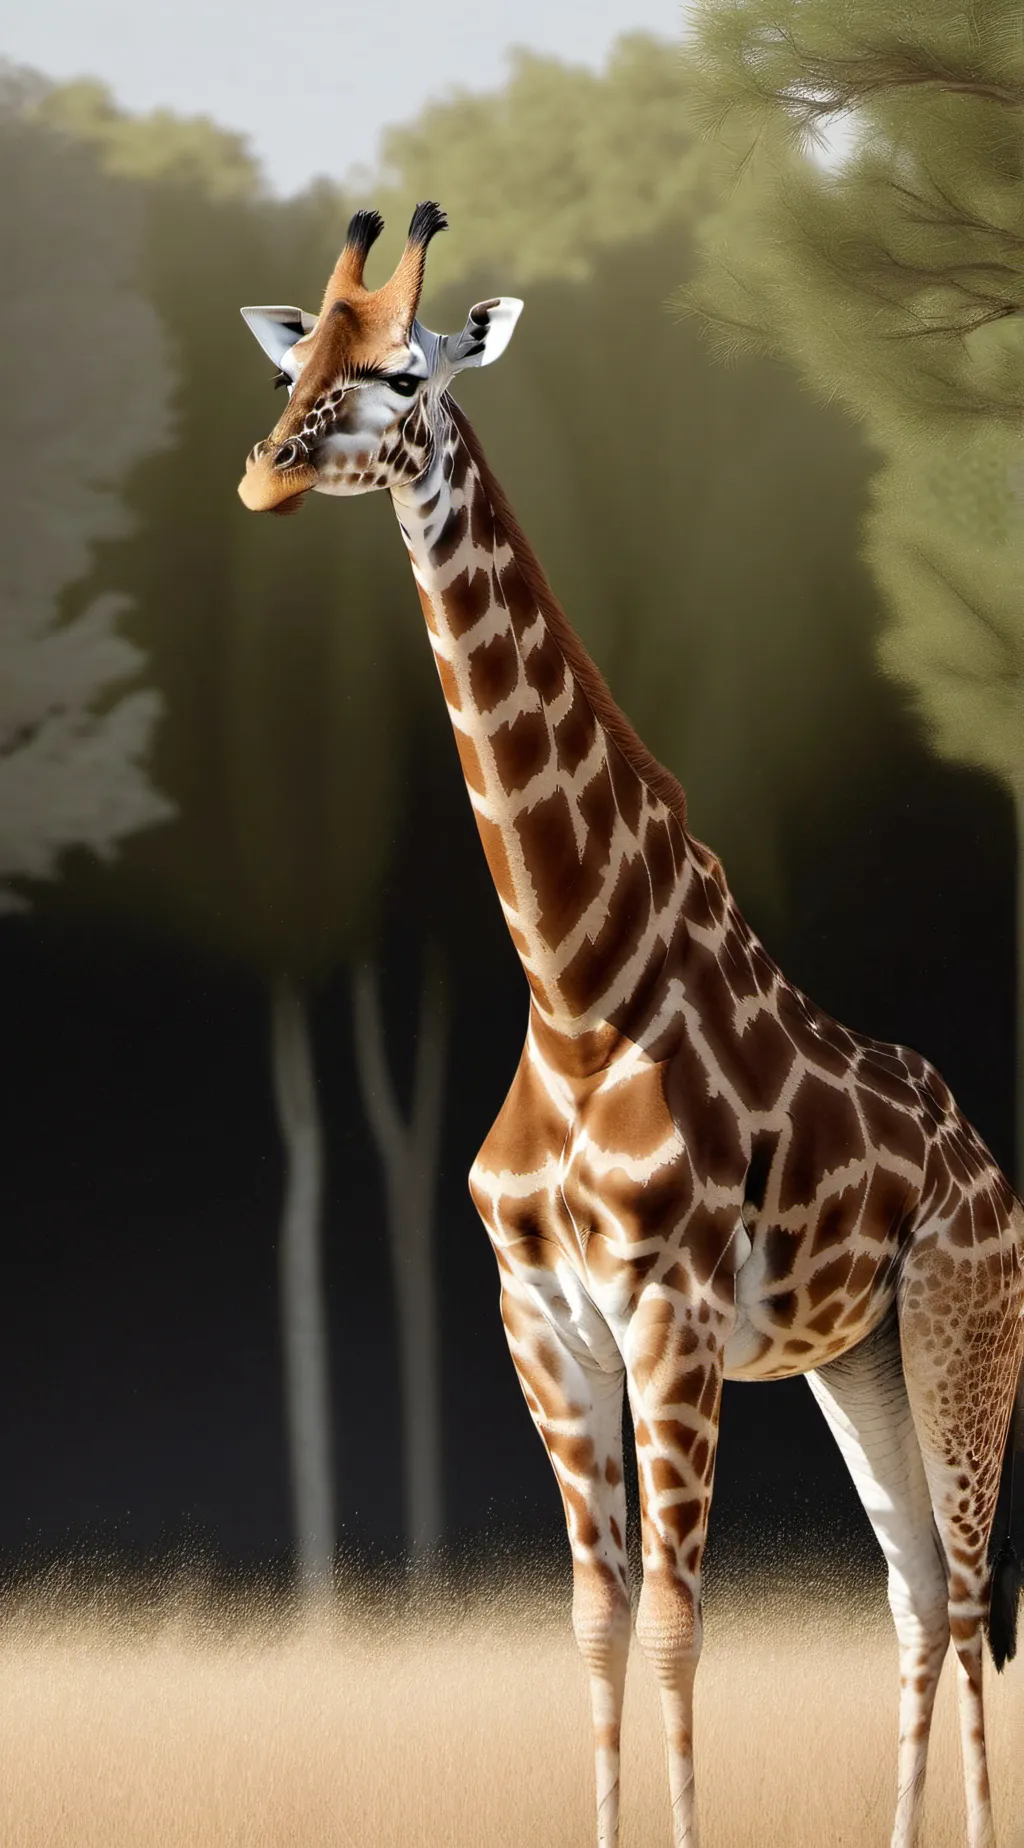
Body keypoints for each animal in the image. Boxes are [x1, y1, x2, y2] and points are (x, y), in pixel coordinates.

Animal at [237, 203, 1024, 1848]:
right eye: (301, 365)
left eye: (404, 373)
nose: (265, 470)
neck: (579, 988)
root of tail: (994, 1176)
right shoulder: (541, 1314)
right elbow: (597, 1624)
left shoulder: (671, 1313)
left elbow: (673, 1620)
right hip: (858, 1365)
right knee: (917, 1593)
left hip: (963, 1338)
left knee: (973, 1590)